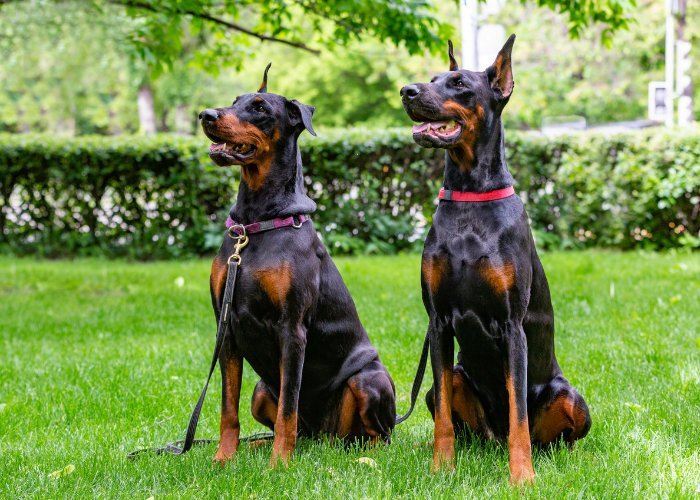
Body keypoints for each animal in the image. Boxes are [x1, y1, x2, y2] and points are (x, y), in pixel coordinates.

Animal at [198, 64, 394, 466]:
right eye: (234, 101)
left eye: (259, 107)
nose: (206, 115)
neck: (256, 224)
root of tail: (326, 436)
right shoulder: (226, 328)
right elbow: (228, 407)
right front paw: (223, 459)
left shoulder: (292, 329)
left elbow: (289, 405)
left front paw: (280, 465)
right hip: (261, 390)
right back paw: (257, 446)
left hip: (369, 380)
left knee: (376, 435)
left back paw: (361, 455)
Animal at [400, 36, 592, 484]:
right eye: (433, 77)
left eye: (459, 83)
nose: (407, 91)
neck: (471, 198)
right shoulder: (437, 323)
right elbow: (444, 418)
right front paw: (442, 467)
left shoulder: (511, 325)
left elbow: (519, 412)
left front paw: (522, 477)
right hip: (451, 383)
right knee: (462, 421)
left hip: (570, 396)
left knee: (554, 437)